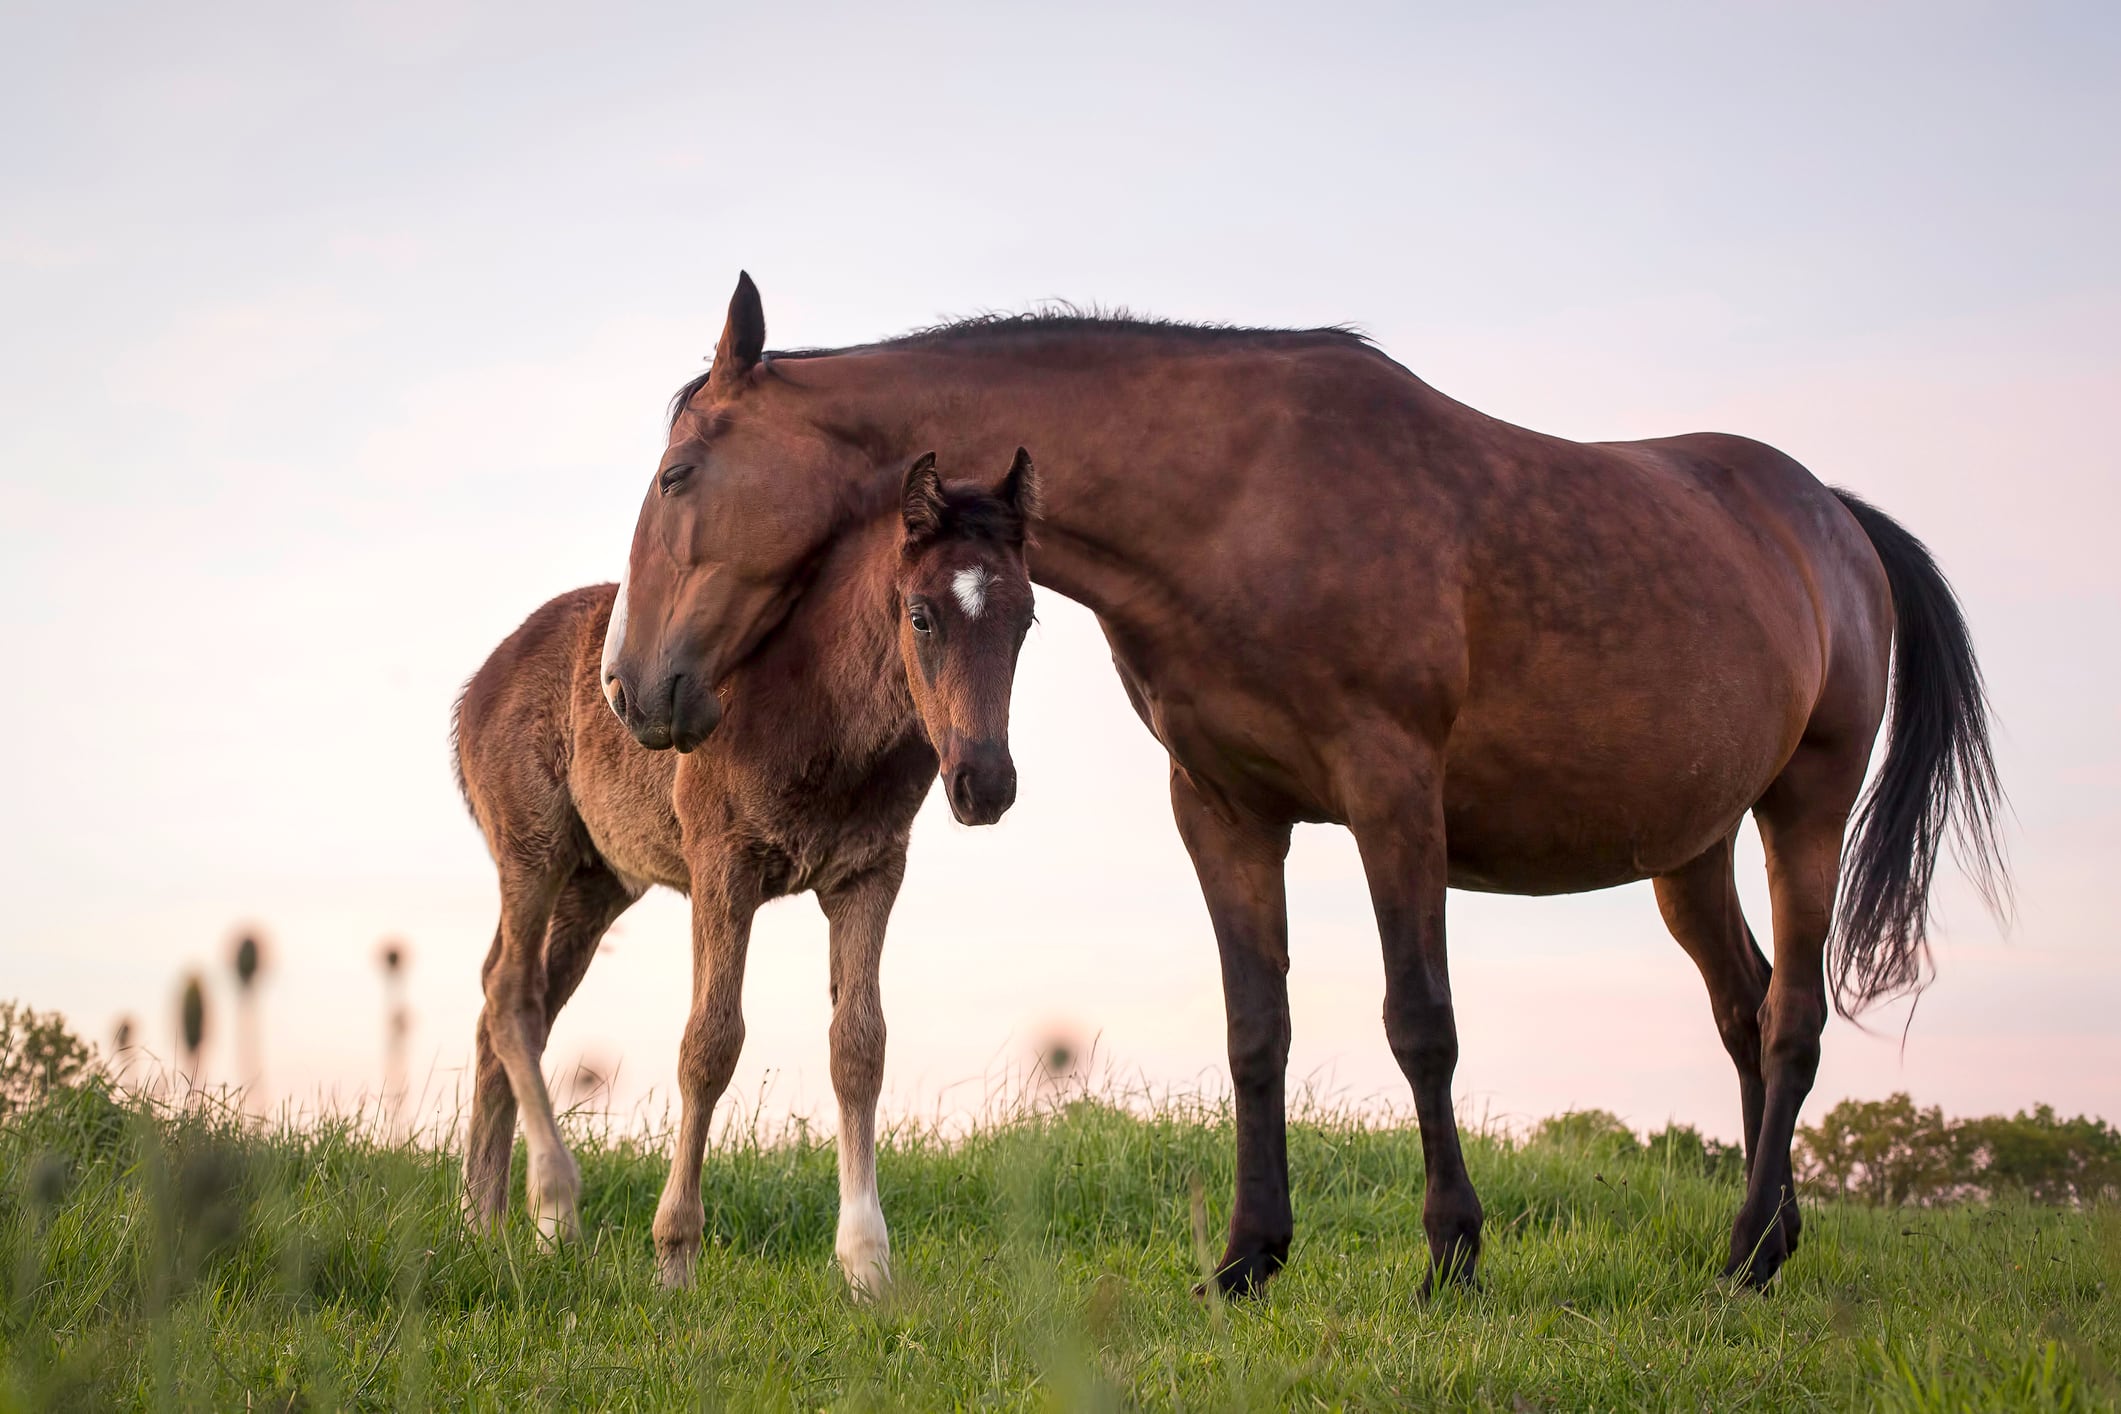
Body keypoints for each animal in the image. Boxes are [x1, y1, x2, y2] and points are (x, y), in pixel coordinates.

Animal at [456, 445, 1035, 1297]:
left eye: (1025, 619)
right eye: (921, 614)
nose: (985, 785)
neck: (821, 704)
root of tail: (479, 683)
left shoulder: (869, 873)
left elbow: (859, 1046)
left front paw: (867, 1266)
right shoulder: (721, 866)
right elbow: (709, 1044)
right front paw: (674, 1257)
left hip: (597, 884)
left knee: (508, 1002)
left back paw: (484, 1222)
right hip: (534, 850)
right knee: (510, 995)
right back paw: (554, 1207)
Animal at [602, 271, 2002, 1297]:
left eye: (677, 475)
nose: (631, 685)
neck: (1240, 498)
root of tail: (1833, 519)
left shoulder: (1394, 799)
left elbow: (1420, 1024)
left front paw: (1451, 1257)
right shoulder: (1223, 809)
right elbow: (1254, 1030)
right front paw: (1248, 1258)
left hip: (1805, 809)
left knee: (1794, 1020)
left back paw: (1745, 1258)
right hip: (1690, 848)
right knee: (1744, 1012)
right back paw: (1773, 1239)